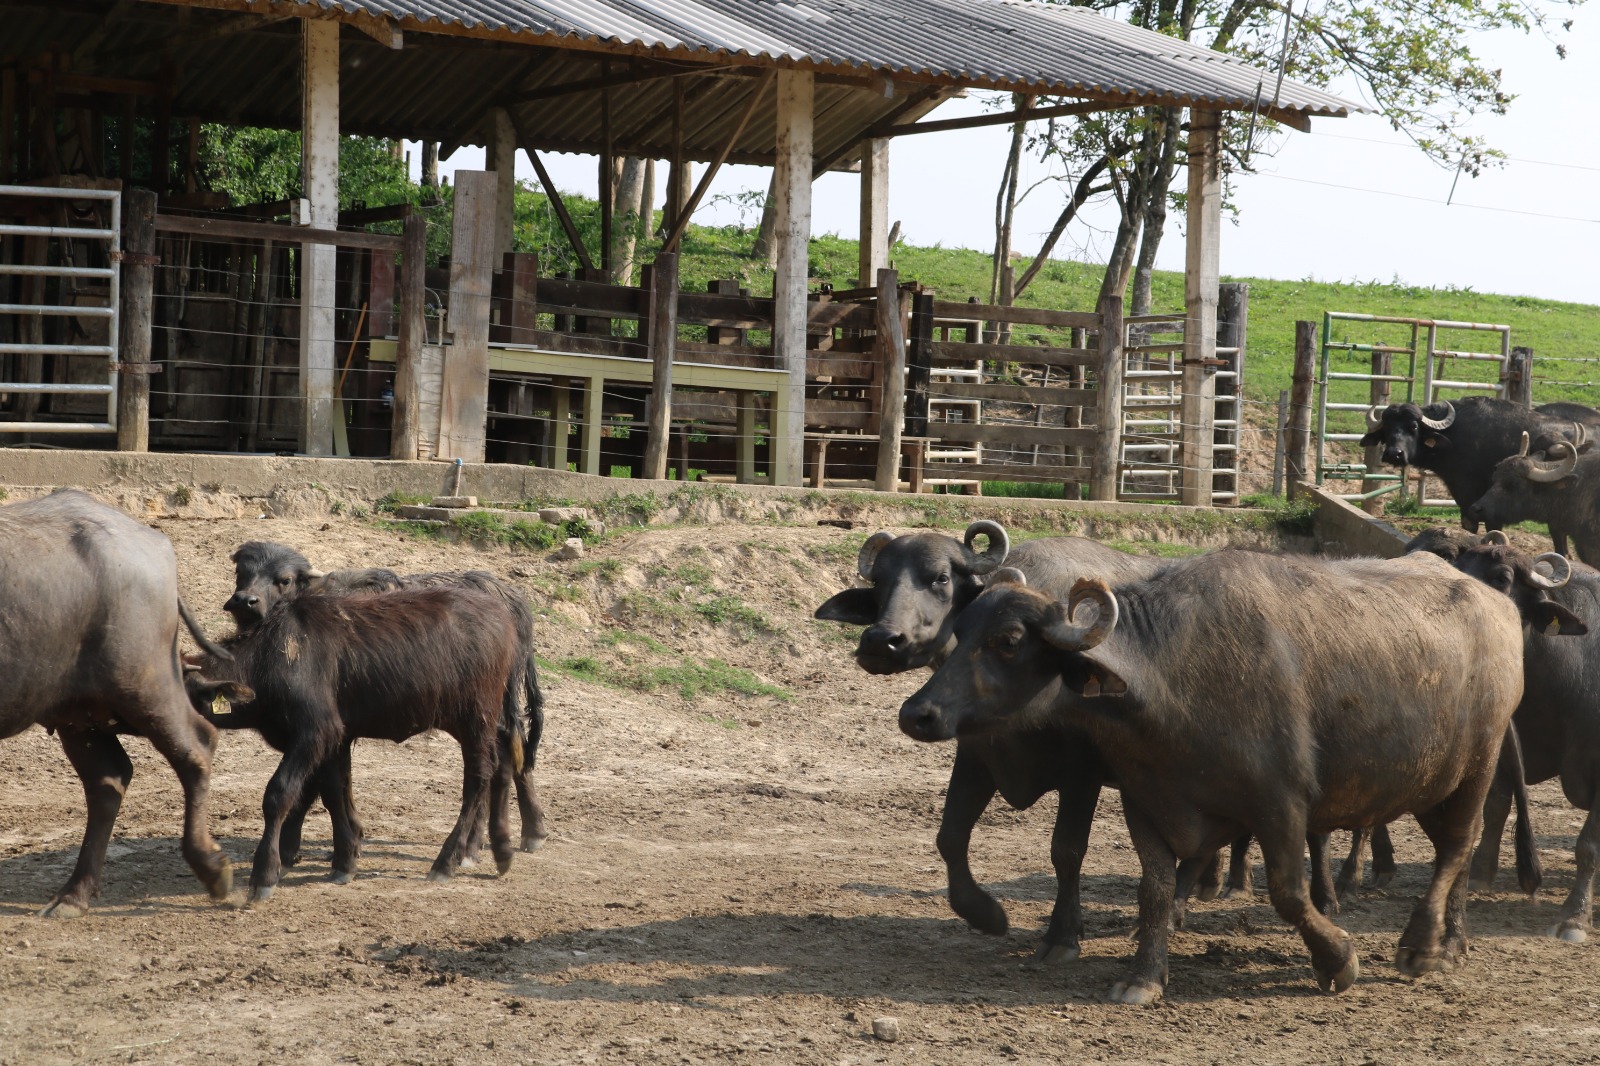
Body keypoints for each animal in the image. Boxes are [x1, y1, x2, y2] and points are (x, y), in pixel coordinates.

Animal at [0, 489, 233, 915]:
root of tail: (154, 541)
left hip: (142, 683)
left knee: (196, 746)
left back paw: (211, 866)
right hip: (78, 713)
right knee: (108, 780)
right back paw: (74, 893)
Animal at [188, 585, 525, 901]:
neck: (276, 655)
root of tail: (502, 614)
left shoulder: (316, 733)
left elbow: (280, 794)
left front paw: (264, 875)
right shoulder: (335, 741)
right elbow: (334, 792)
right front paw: (345, 860)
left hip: (475, 719)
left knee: (478, 778)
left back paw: (447, 861)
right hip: (484, 721)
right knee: (504, 759)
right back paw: (501, 850)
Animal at [222, 541, 547, 862]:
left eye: (284, 579)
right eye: (241, 572)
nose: (245, 601)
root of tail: (507, 594)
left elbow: (313, 785)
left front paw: (290, 846)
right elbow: (338, 782)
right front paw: (350, 836)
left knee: (507, 751)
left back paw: (500, 839)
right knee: (509, 751)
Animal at [815, 522, 1252, 962]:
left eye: (939, 577)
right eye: (880, 580)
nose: (881, 641)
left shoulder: (1083, 772)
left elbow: (1067, 849)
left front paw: (1063, 935)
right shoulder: (977, 755)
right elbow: (950, 835)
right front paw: (985, 914)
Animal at [897, 549, 1528, 1002]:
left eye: (1007, 641)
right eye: (962, 629)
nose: (917, 713)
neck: (1173, 677)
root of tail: (1501, 609)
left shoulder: (1281, 803)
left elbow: (1289, 892)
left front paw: (1338, 960)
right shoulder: (1147, 799)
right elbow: (1153, 887)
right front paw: (1143, 976)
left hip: (1477, 765)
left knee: (1457, 847)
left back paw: (1421, 947)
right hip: (1433, 785)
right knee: (1458, 855)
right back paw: (1453, 942)